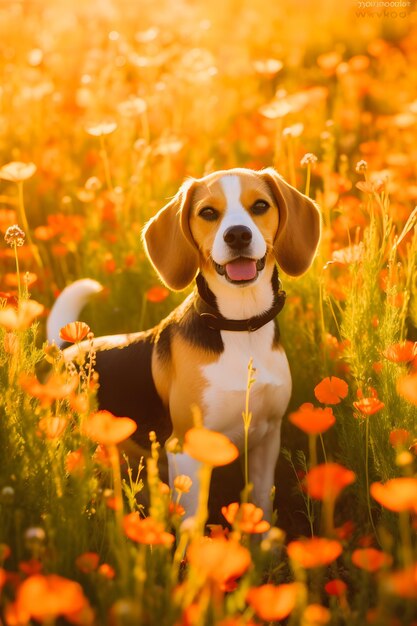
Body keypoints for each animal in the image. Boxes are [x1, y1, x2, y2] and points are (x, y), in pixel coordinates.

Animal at [48, 166, 318, 516]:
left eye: (260, 206)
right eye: (208, 212)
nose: (238, 235)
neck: (239, 328)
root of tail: (67, 351)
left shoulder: (267, 437)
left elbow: (260, 503)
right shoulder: (187, 449)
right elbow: (194, 519)